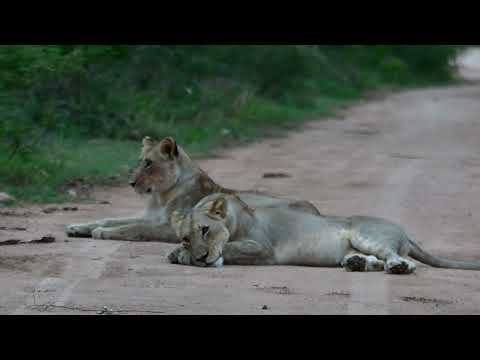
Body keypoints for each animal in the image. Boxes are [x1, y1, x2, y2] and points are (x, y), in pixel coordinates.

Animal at [65, 136, 320, 243]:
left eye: (149, 163)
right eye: (140, 161)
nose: (131, 183)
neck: (161, 195)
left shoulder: (170, 226)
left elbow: (134, 227)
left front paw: (102, 232)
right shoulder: (151, 216)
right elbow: (111, 218)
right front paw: (78, 227)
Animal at [168, 195, 480, 274]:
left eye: (206, 229)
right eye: (186, 236)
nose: (201, 258)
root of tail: (403, 230)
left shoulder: (263, 248)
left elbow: (229, 249)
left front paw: (196, 258)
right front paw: (179, 254)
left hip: (368, 234)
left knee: (400, 258)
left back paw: (398, 267)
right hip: (356, 246)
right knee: (371, 260)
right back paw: (357, 263)